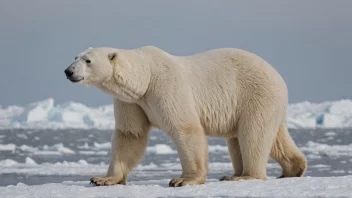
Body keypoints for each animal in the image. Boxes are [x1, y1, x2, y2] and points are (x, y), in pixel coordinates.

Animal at [64, 46, 306, 187]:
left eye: (88, 61)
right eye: (75, 56)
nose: (68, 71)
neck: (145, 79)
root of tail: (279, 77)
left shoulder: (166, 87)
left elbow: (184, 128)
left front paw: (183, 180)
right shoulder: (132, 102)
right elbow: (130, 134)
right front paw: (103, 179)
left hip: (254, 94)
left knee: (253, 134)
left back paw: (244, 175)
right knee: (268, 137)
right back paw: (293, 169)